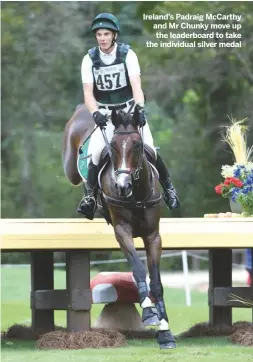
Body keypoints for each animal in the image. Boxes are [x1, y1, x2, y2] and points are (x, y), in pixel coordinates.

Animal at [62, 106, 176, 350]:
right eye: (113, 146)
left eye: (138, 145)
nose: (122, 186)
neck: (137, 193)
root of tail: (81, 109)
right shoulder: (122, 232)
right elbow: (138, 269)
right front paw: (149, 313)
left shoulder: (153, 236)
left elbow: (156, 282)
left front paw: (165, 332)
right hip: (70, 165)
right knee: (77, 174)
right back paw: (88, 200)